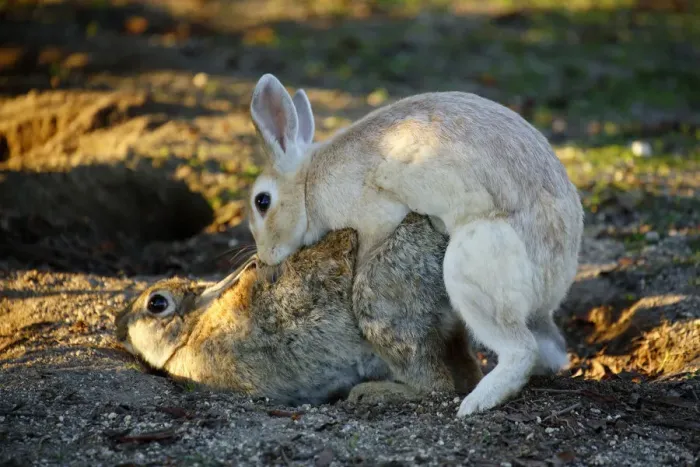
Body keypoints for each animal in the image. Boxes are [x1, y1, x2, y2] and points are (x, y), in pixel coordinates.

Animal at [114, 213, 483, 405]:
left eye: (156, 303)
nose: (118, 326)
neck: (191, 331)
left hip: (384, 306)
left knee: (435, 385)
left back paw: (370, 393)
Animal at [246, 74, 584, 416]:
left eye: (262, 202)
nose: (264, 257)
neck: (307, 185)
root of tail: (556, 275)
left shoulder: (375, 218)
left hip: (473, 264)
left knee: (520, 350)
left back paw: (475, 402)